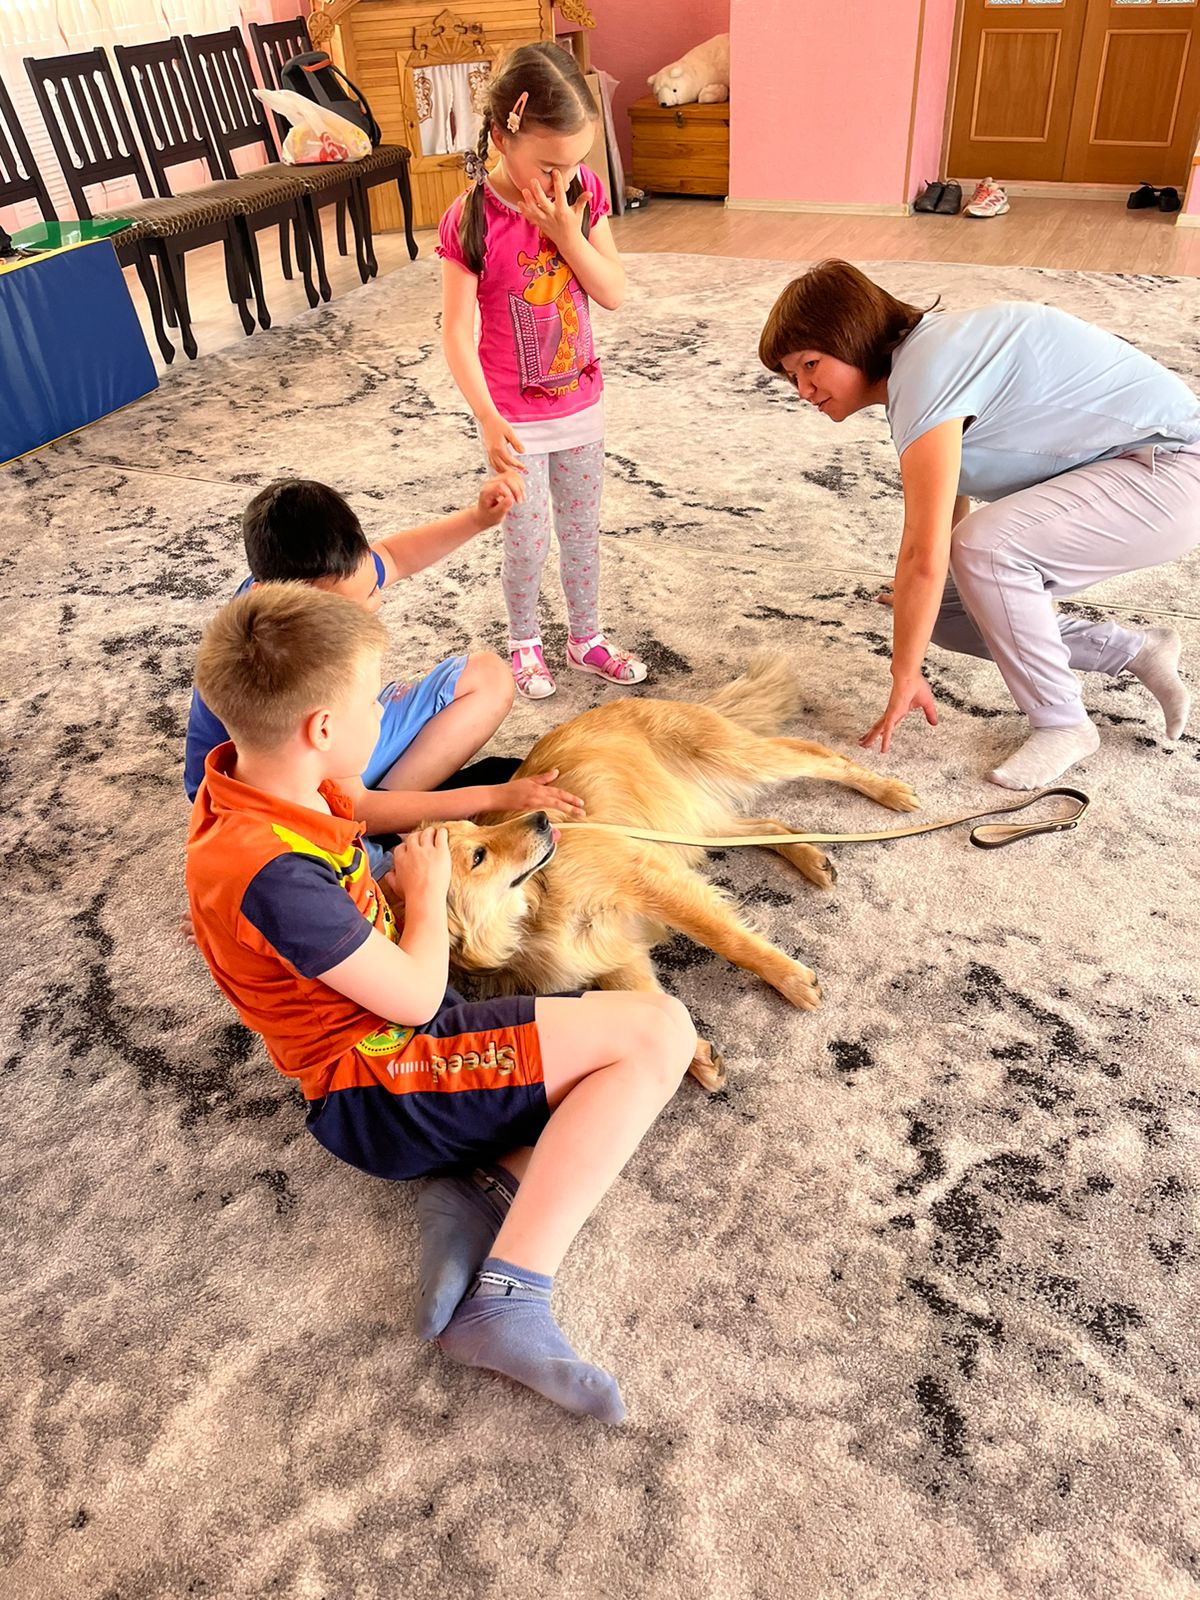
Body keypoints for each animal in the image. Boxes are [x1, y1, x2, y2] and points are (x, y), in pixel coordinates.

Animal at [441, 652, 921, 1088]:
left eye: (478, 833)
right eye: (478, 854)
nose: (542, 818)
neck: (533, 913)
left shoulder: (645, 878)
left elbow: (727, 939)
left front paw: (790, 979)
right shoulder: (608, 949)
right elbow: (646, 1002)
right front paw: (694, 1054)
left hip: (733, 759)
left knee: (815, 754)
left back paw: (889, 790)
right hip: (690, 821)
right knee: (769, 826)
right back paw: (812, 858)